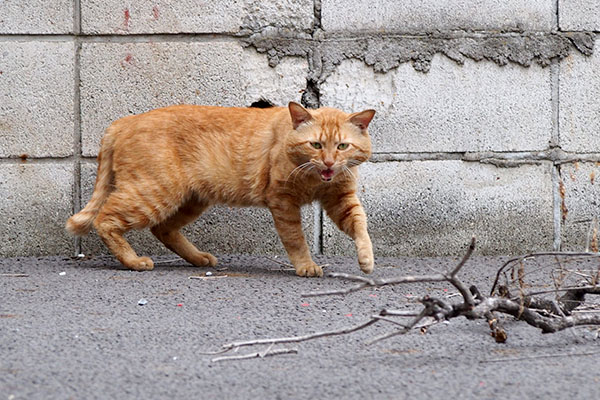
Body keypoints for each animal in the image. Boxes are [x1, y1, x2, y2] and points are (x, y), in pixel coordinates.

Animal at [67, 101, 376, 276]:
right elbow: (296, 239)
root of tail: (123, 122)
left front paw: (366, 259)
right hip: (154, 193)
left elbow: (361, 226)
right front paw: (305, 266)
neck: (315, 181)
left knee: (162, 229)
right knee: (105, 219)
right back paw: (133, 261)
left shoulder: (341, 199)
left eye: (342, 146)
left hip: (190, 199)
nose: (328, 162)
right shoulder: (283, 201)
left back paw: (198, 258)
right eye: (315, 144)